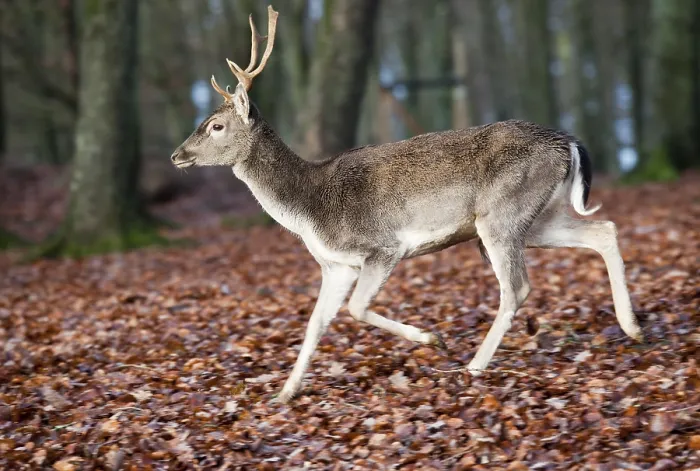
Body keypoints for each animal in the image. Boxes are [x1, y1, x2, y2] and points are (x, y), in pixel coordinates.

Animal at [170, 6, 645, 403]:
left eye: (215, 125)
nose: (177, 155)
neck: (309, 207)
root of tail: (568, 142)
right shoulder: (336, 265)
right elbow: (315, 324)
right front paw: (284, 394)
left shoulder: (382, 246)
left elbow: (356, 308)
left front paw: (431, 339)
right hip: (536, 215)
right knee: (603, 230)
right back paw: (633, 328)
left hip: (502, 214)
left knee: (518, 286)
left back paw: (474, 366)